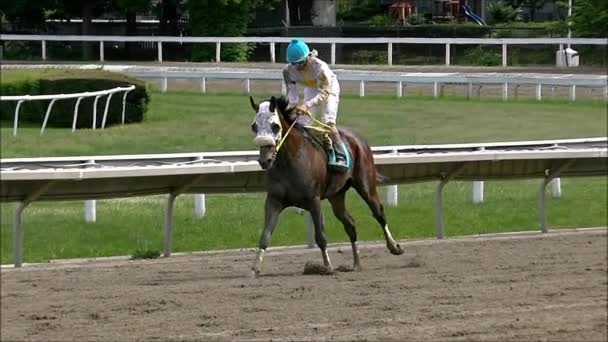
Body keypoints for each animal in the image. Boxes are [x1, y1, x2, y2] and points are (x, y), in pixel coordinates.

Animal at [248, 95, 404, 276]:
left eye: (275, 126)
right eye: (254, 126)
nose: (264, 160)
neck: (291, 160)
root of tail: (357, 138)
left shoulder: (313, 200)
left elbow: (321, 236)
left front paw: (327, 266)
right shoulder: (274, 200)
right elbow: (265, 235)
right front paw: (255, 268)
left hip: (366, 185)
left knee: (379, 213)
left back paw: (394, 247)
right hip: (337, 195)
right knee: (350, 223)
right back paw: (356, 263)